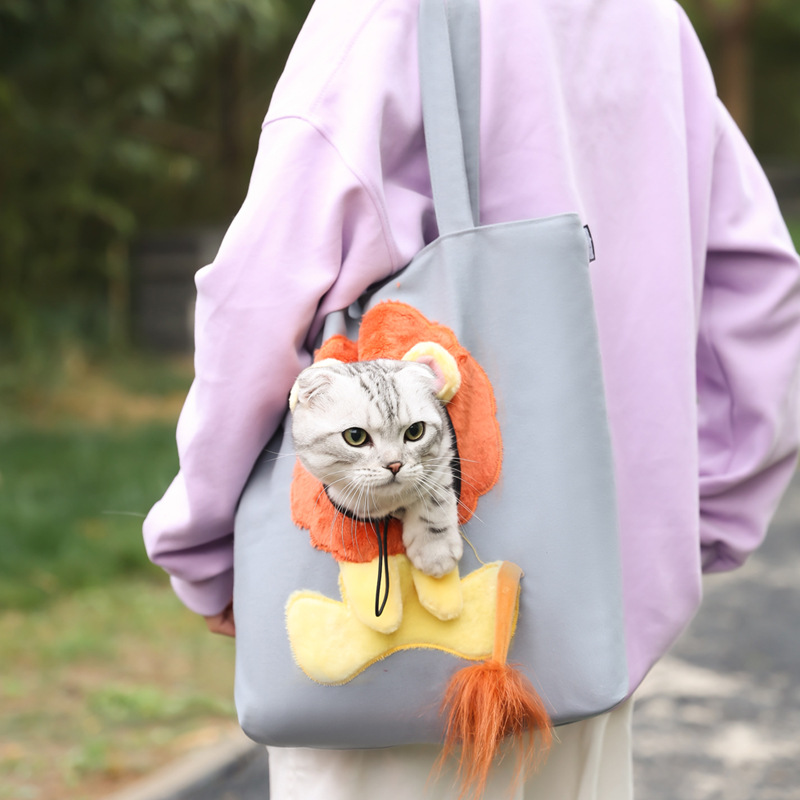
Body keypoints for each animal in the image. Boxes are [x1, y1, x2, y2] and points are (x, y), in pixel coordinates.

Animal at [290, 358, 463, 578]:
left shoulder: (443, 455)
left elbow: (434, 499)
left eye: (415, 431)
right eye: (355, 436)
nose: (395, 465)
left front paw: (435, 550)